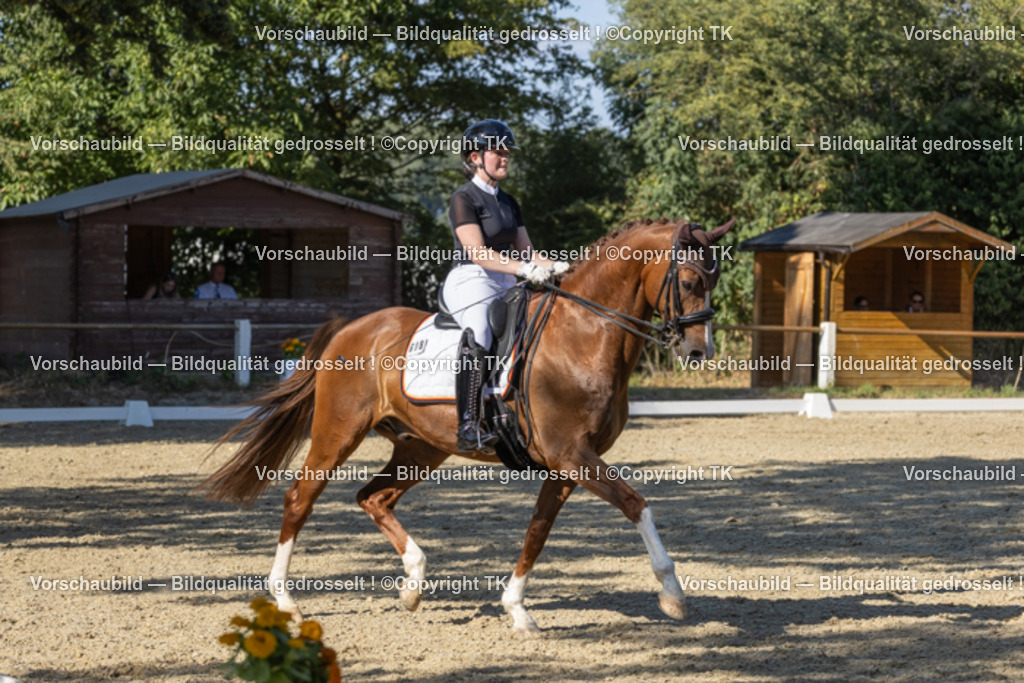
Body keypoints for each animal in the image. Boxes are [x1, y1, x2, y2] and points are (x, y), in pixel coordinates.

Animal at [199, 217, 733, 633]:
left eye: (714, 281)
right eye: (689, 282)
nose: (698, 352)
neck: (583, 334)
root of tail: (349, 328)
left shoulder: (565, 465)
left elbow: (538, 530)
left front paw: (516, 610)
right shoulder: (571, 455)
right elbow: (636, 504)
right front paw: (673, 594)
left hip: (421, 447)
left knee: (374, 497)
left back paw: (413, 584)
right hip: (338, 433)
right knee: (300, 498)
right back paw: (285, 600)